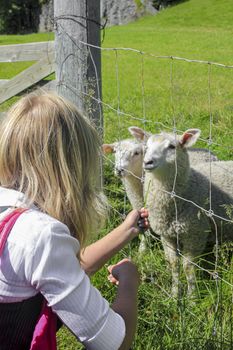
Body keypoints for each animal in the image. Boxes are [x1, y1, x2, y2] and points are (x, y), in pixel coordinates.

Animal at [129, 127, 233, 296]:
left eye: (172, 146)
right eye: (146, 146)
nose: (147, 162)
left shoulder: (195, 234)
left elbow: (188, 268)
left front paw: (192, 297)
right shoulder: (167, 235)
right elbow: (173, 264)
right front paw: (174, 294)